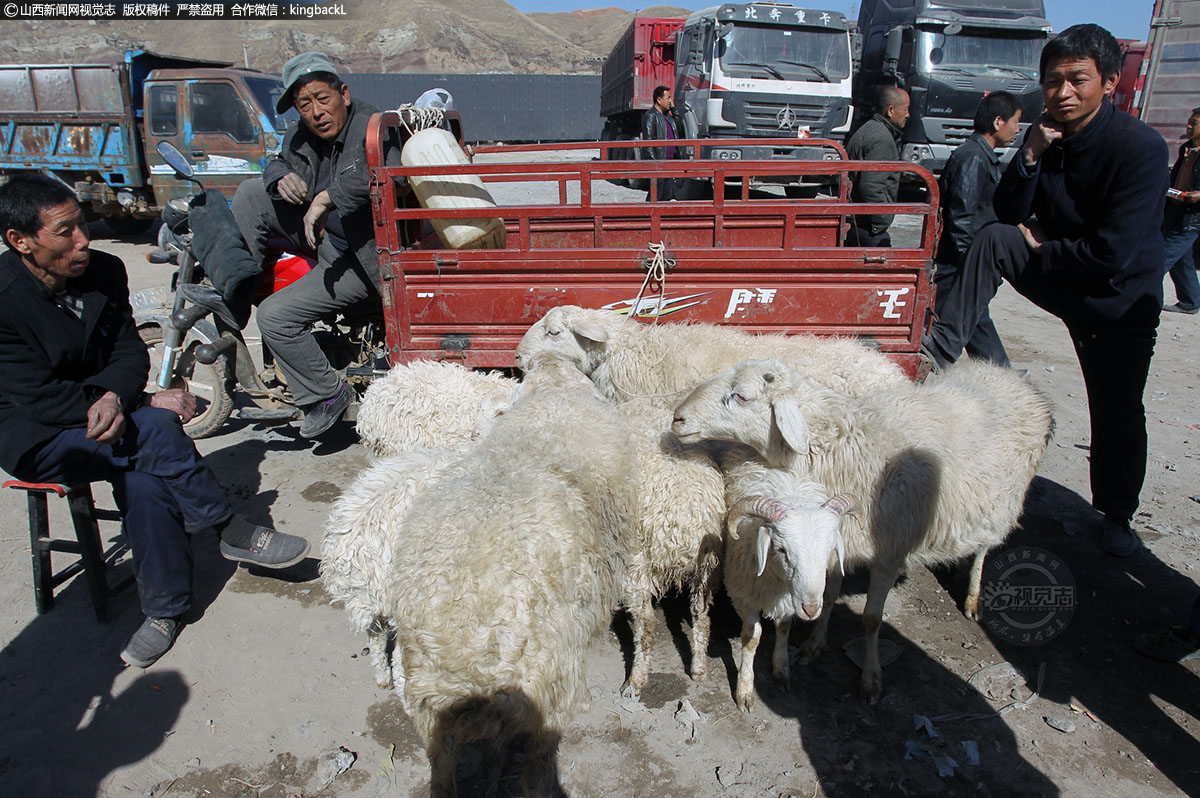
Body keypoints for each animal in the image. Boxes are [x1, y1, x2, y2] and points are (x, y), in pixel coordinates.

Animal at [676, 357, 1051, 700]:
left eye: (741, 396)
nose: (678, 417)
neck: (843, 444)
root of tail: (1007, 373)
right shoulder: (836, 540)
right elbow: (827, 596)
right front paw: (814, 644)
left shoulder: (889, 551)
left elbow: (871, 619)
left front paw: (871, 679)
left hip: (1001, 502)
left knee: (986, 548)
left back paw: (973, 596)